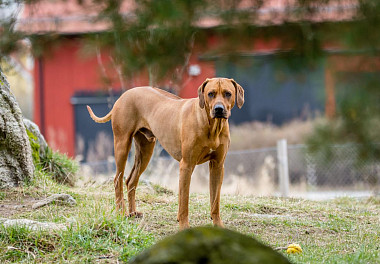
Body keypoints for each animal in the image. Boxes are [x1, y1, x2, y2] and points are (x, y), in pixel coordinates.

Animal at [87, 78, 245, 229]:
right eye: (211, 93)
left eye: (228, 93)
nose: (219, 109)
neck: (211, 125)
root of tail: (123, 95)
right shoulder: (186, 165)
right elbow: (184, 201)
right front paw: (184, 226)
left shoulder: (218, 166)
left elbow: (215, 201)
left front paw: (218, 225)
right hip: (122, 143)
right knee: (117, 180)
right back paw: (121, 212)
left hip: (145, 150)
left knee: (131, 180)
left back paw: (132, 213)